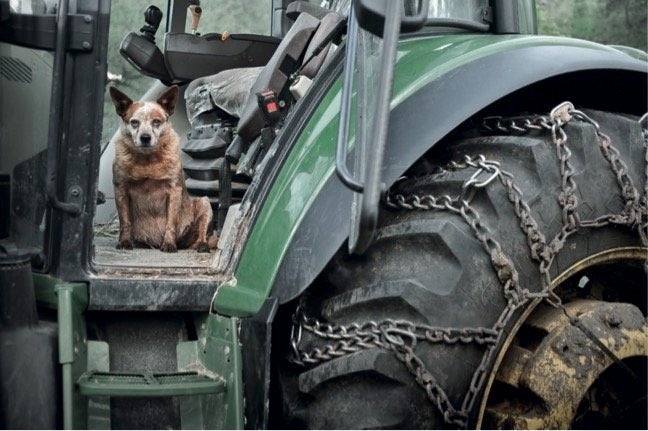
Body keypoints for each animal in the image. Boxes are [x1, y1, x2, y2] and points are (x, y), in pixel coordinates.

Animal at [109, 85, 215, 253]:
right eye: (134, 122)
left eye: (156, 122)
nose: (145, 137)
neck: (147, 161)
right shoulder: (120, 189)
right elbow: (125, 221)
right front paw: (125, 242)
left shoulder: (174, 191)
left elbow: (171, 223)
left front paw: (169, 244)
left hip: (204, 203)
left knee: (202, 232)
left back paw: (201, 244)